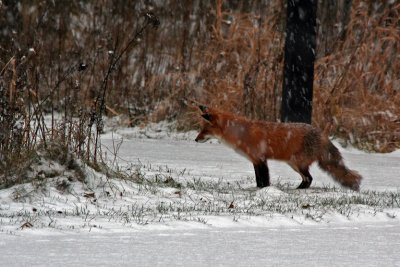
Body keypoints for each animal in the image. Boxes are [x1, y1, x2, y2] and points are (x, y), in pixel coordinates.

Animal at [194, 104, 362, 191]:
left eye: (205, 130)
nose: (195, 139)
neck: (241, 133)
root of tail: (322, 135)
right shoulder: (255, 161)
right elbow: (259, 180)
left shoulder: (261, 159)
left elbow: (264, 180)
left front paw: (265, 191)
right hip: (294, 164)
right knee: (308, 179)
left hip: (296, 163)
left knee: (309, 178)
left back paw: (298, 190)